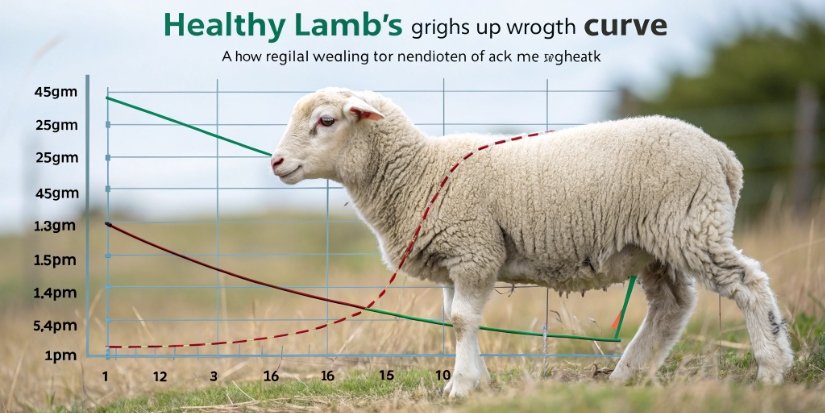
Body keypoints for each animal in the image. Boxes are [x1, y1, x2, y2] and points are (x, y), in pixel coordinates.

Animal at [270, 87, 794, 397]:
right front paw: (476, 379)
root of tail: (723, 155)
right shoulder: (453, 259)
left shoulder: (475, 250)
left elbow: (461, 320)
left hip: (689, 224)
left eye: (325, 121)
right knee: (672, 305)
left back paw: (771, 367)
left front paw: (461, 386)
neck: (418, 172)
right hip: (656, 244)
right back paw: (628, 374)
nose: (276, 163)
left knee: (748, 284)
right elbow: (455, 318)